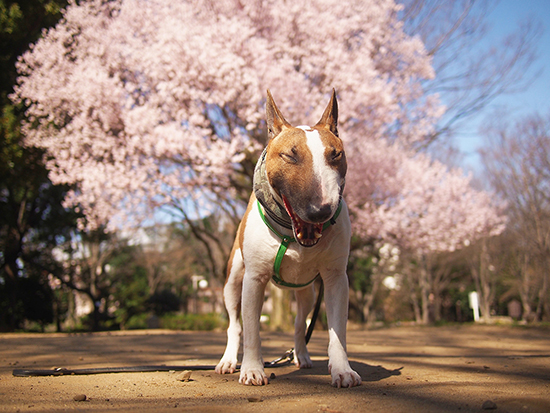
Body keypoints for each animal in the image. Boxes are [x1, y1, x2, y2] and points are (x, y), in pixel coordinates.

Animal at [216, 89, 362, 386]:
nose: (320, 211)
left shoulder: (336, 279)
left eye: (335, 155)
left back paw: (302, 356)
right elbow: (252, 329)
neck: (293, 236)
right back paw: (229, 361)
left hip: (307, 292)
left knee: (298, 324)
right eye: (290, 156)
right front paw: (252, 369)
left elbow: (337, 332)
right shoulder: (254, 279)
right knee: (234, 325)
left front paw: (342, 369)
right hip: (233, 281)